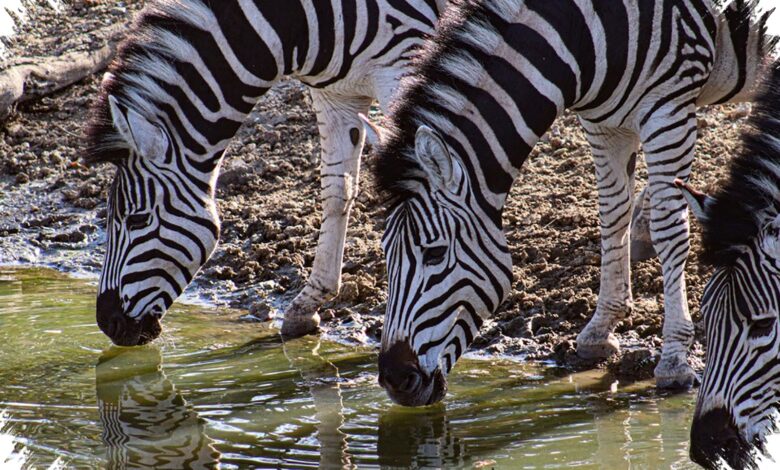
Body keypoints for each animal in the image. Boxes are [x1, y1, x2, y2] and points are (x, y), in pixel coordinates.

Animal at [84, 0, 450, 346]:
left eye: (137, 220)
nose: (107, 323)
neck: (297, 22)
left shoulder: (407, 61)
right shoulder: (337, 94)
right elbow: (337, 191)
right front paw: (307, 305)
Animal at [367, 0, 776, 406]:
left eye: (434, 253)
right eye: (385, 253)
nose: (394, 380)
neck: (587, 30)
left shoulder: (669, 109)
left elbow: (669, 231)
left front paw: (674, 358)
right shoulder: (603, 123)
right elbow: (611, 215)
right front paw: (600, 330)